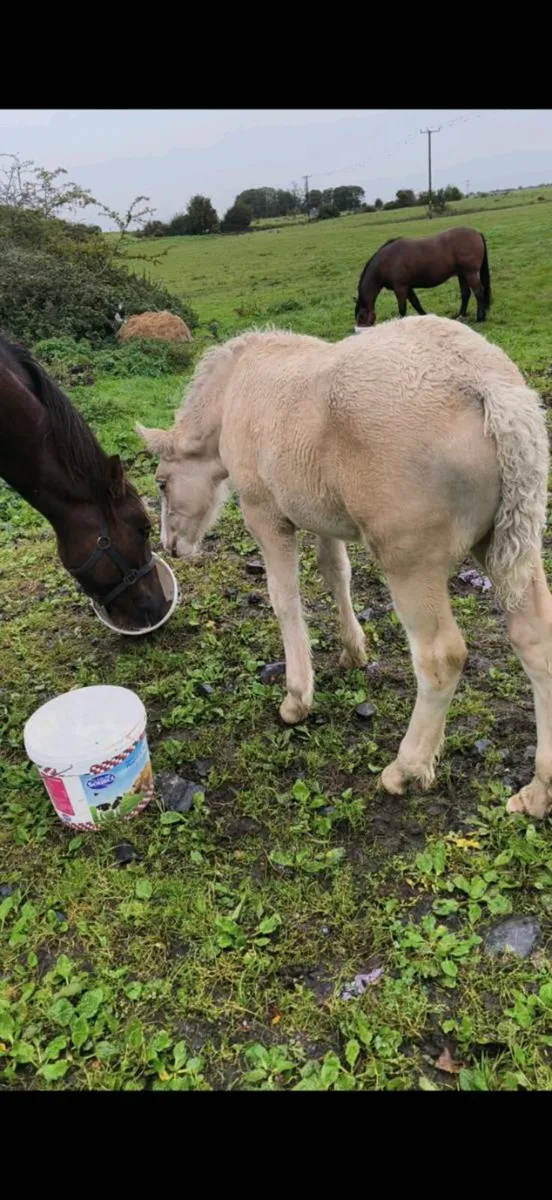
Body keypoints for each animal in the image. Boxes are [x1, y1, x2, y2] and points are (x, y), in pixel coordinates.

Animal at [136, 316, 552, 820]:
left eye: (161, 482)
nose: (171, 546)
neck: (235, 387)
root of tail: (489, 386)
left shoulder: (266, 515)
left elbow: (284, 598)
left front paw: (297, 698)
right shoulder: (320, 515)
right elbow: (336, 572)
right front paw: (354, 651)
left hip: (410, 562)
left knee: (440, 657)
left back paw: (406, 769)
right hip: (505, 547)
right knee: (537, 641)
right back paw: (538, 791)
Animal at [354, 227, 491, 327]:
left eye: (361, 317)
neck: (386, 261)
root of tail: (477, 233)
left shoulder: (400, 288)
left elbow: (402, 309)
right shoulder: (408, 288)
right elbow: (416, 304)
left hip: (470, 273)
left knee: (479, 292)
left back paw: (480, 318)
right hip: (462, 274)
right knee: (465, 294)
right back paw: (460, 316)